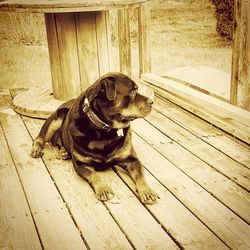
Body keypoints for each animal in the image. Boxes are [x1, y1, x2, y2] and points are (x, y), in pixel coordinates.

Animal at [30, 71, 158, 204]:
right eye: (133, 92)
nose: (151, 102)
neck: (104, 130)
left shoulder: (131, 159)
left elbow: (140, 175)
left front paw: (147, 191)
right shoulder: (81, 163)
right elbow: (94, 174)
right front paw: (103, 189)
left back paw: (64, 152)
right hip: (56, 118)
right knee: (40, 138)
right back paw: (37, 149)